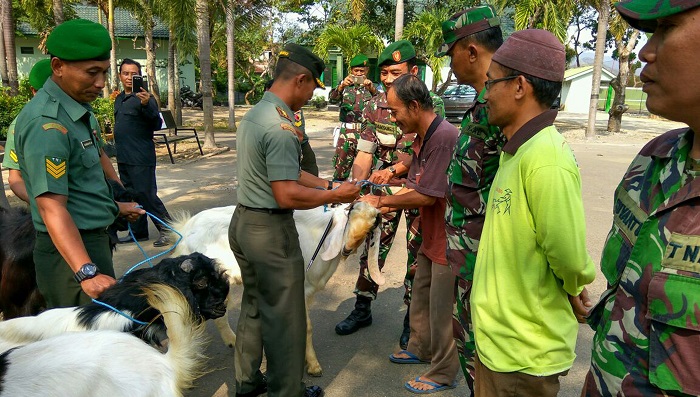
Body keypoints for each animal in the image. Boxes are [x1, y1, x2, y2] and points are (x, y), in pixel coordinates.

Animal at [173, 201, 386, 374]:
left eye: (371, 226)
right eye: (350, 216)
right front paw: (313, 366)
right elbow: (306, 326)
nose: (348, 248)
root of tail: (184, 229)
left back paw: (231, 341)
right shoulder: (301, 288)